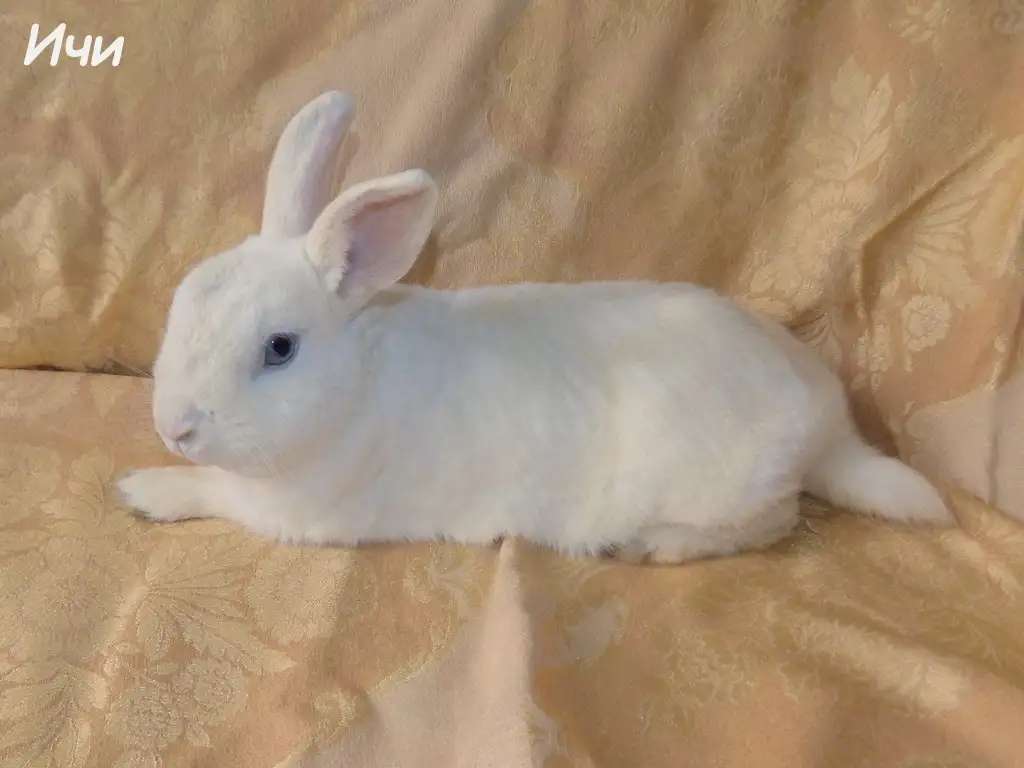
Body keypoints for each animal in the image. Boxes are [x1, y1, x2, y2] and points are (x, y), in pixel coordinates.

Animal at [116, 91, 953, 564]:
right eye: (181, 305)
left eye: (280, 349)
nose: (174, 426)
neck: (355, 386)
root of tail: (829, 427)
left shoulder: (292, 512)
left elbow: (211, 491)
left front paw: (141, 489)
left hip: (728, 491)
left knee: (773, 521)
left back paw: (652, 546)